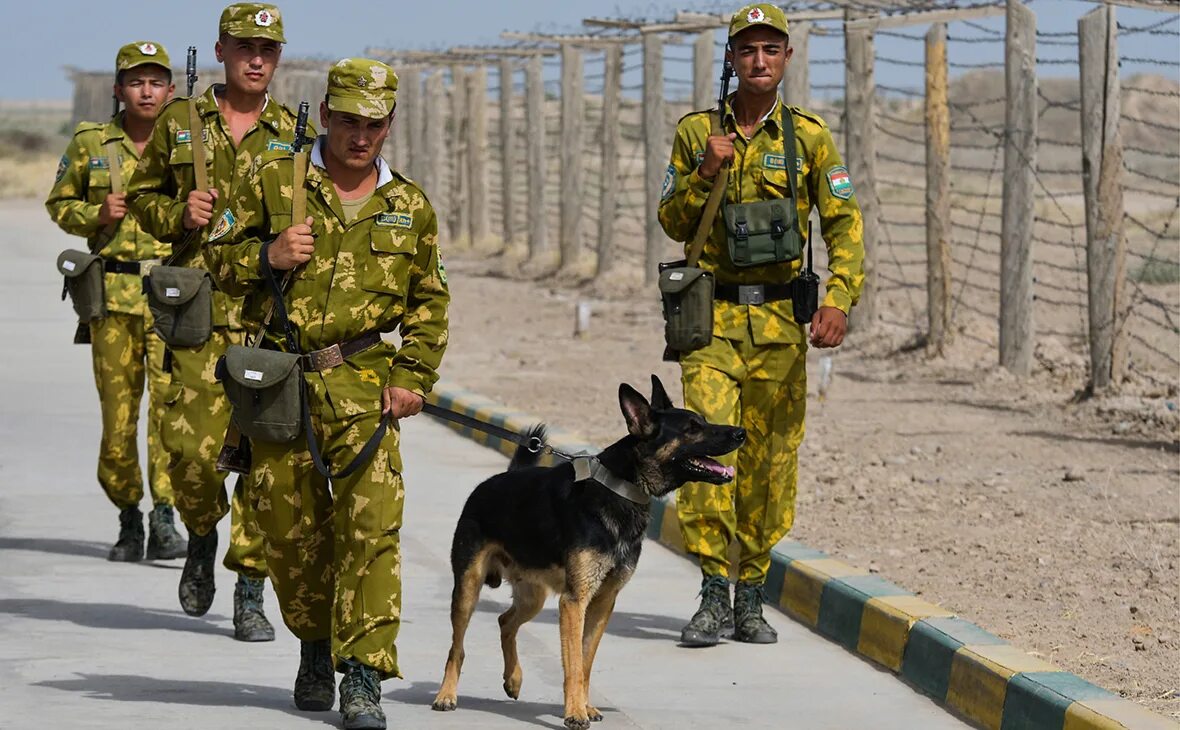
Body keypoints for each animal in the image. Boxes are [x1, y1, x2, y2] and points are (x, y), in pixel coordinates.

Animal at [434, 377, 745, 730]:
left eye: (703, 421)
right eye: (692, 428)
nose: (741, 433)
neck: (621, 488)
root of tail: (495, 481)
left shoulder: (603, 602)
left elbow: (584, 661)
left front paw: (584, 706)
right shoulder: (575, 602)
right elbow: (572, 663)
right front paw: (574, 712)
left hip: (533, 597)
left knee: (505, 622)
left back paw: (513, 679)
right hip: (468, 588)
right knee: (457, 646)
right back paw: (446, 694)